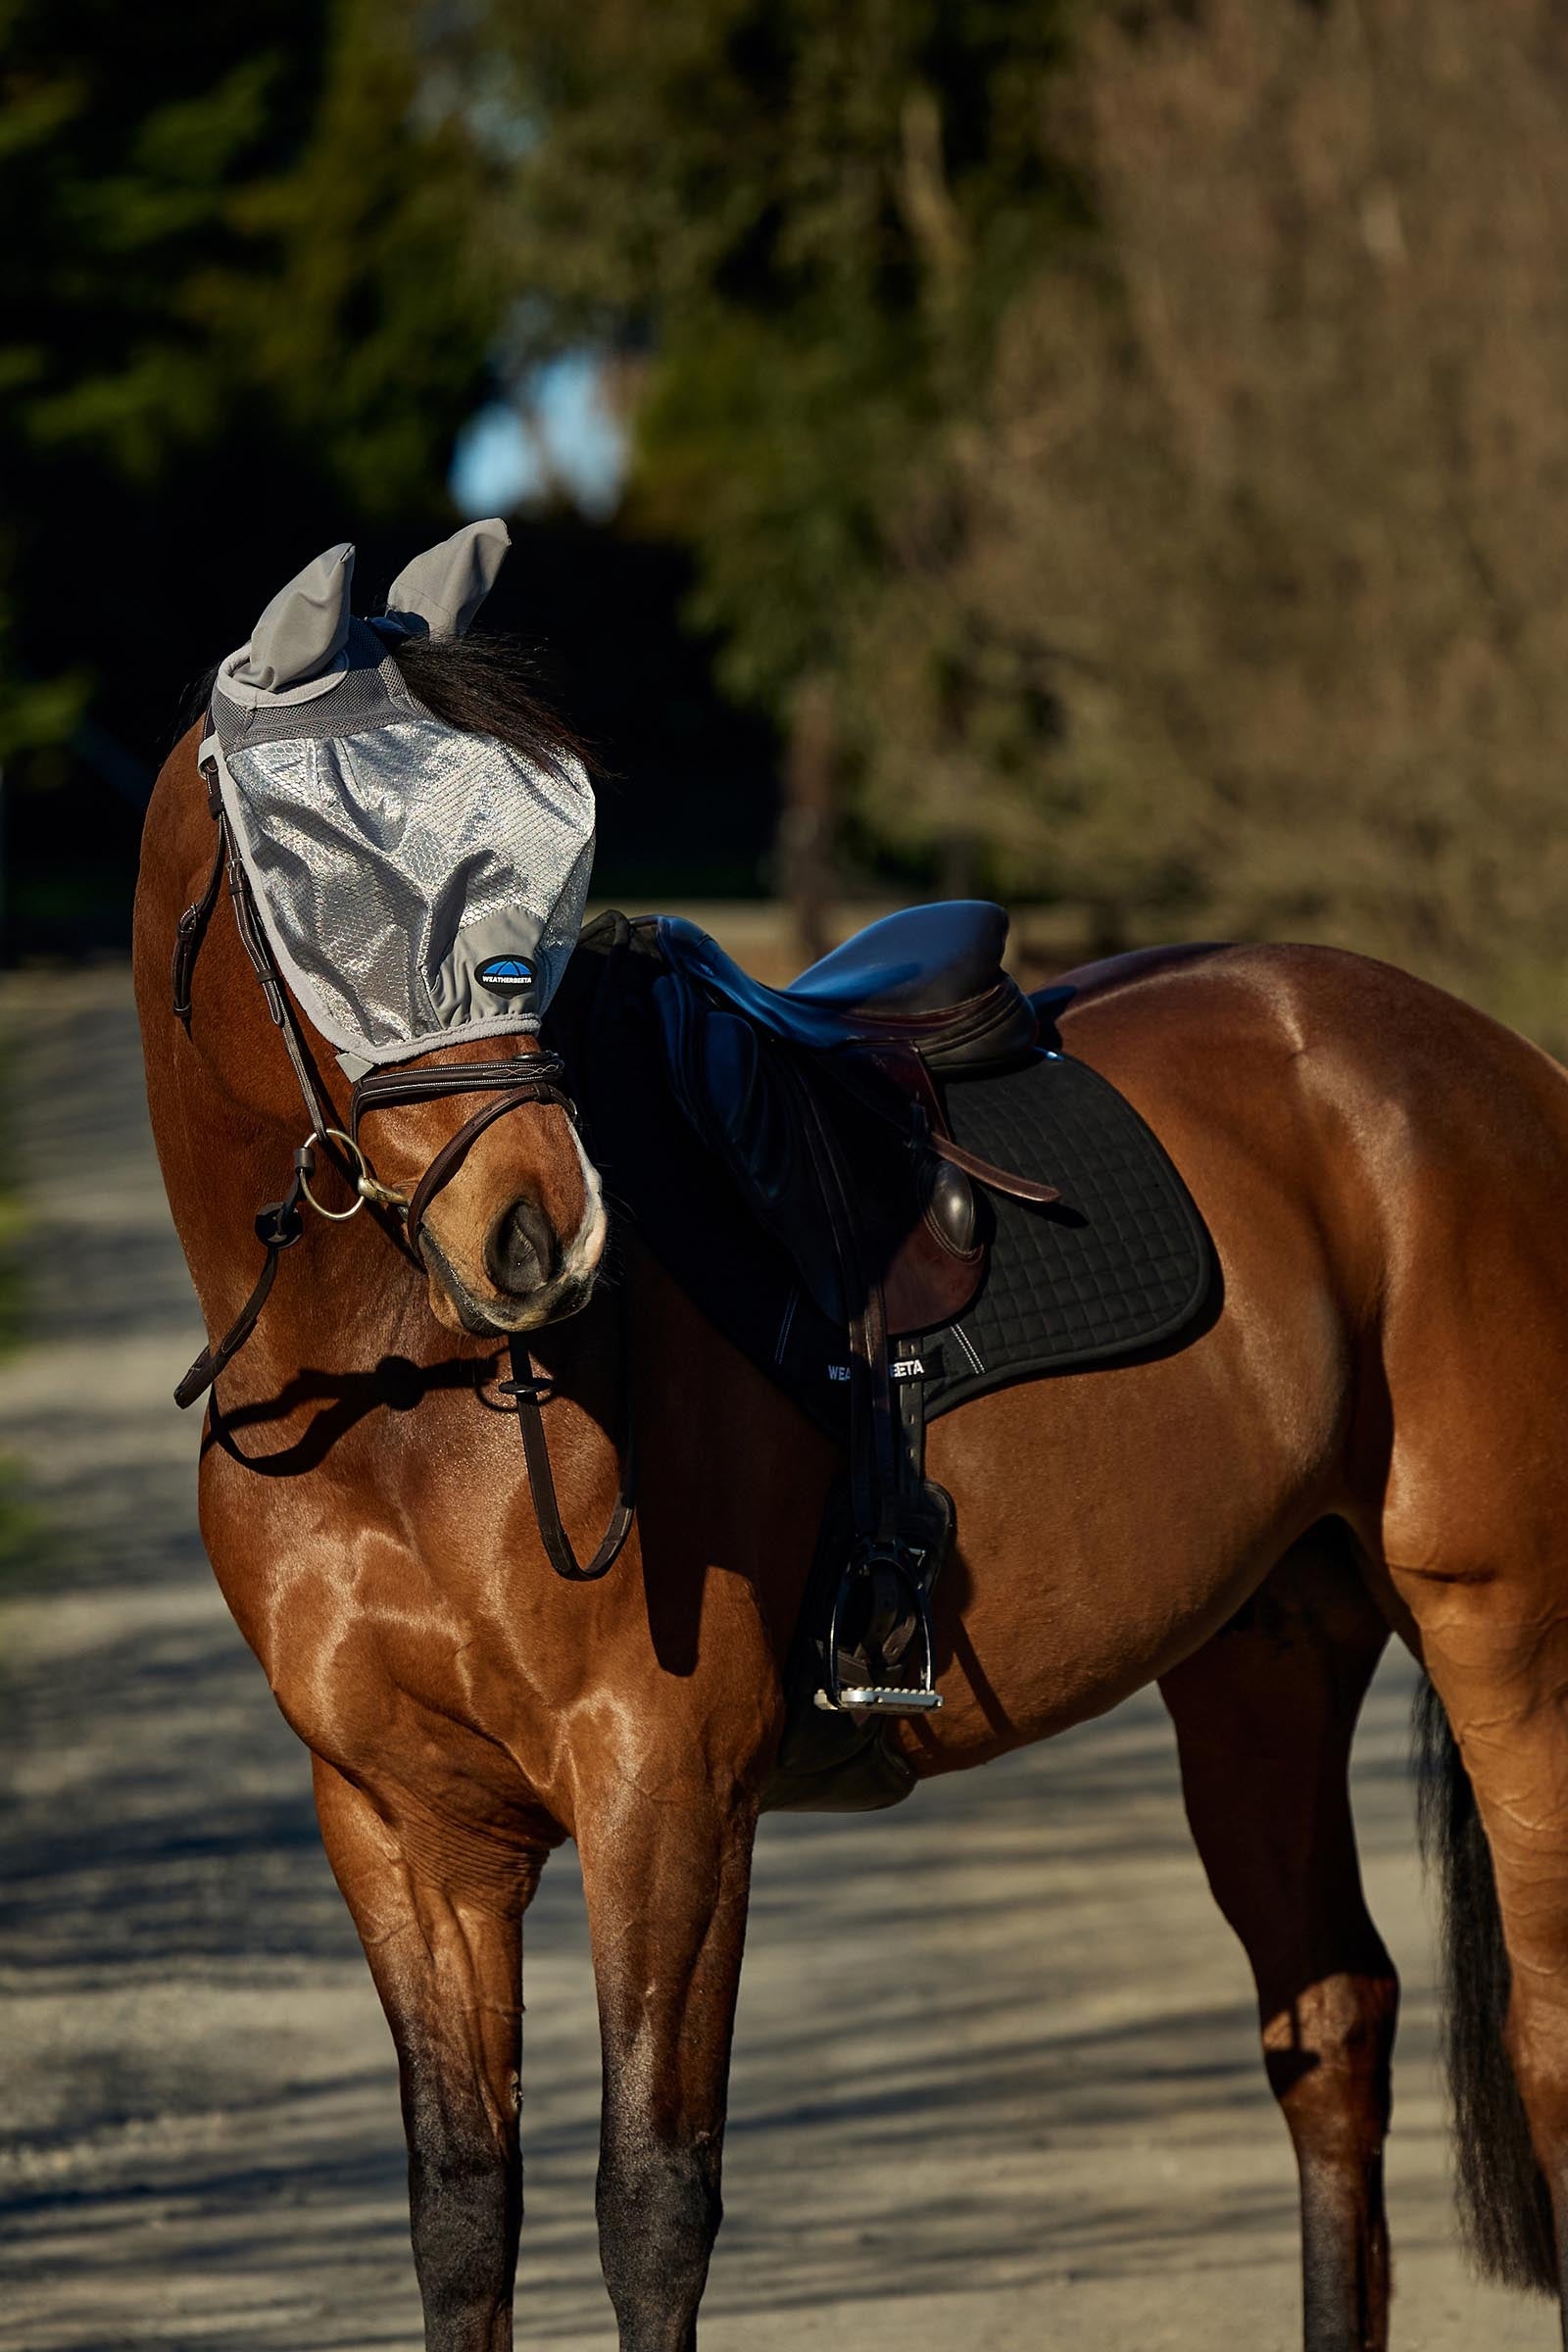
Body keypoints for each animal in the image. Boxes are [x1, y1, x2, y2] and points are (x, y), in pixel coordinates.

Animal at [136, 619, 1568, 2352]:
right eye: (316, 862)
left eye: (555, 834)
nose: (543, 1236)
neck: (392, 1391)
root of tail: (1489, 1065)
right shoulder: (402, 1826)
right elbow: (463, 2211)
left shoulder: (666, 1791)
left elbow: (652, 2204)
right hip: (1262, 1662)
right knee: (1334, 2021)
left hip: (1508, 1634)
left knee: (1548, 2045)